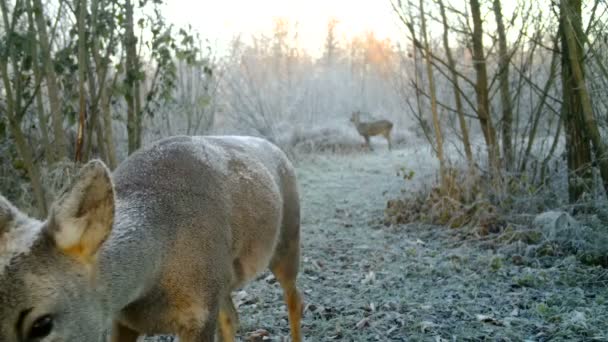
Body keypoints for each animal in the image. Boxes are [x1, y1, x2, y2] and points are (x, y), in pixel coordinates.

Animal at [0, 136, 304, 342]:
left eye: (41, 325)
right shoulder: (122, 318)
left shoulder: (199, 315)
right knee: (232, 316)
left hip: (288, 240)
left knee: (294, 299)